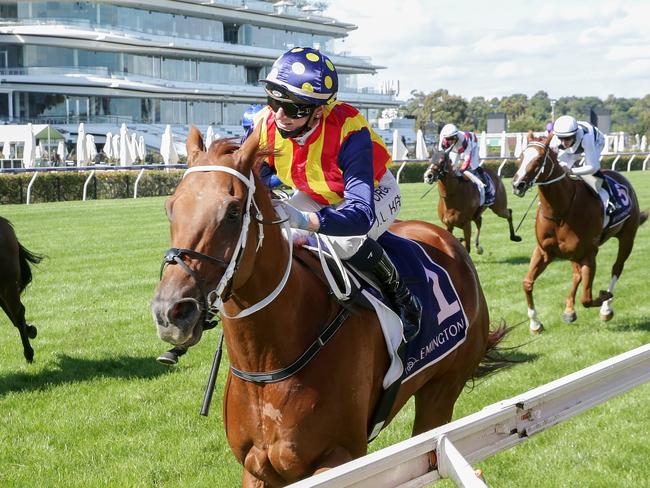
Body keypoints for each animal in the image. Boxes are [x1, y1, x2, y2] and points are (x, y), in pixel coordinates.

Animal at [152, 127, 512, 486]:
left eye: (232, 211)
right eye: (171, 208)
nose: (171, 311)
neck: (267, 361)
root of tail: (444, 240)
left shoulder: (339, 457)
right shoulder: (256, 466)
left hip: (441, 392)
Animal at [512, 132, 644, 334]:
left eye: (539, 159)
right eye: (520, 156)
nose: (517, 185)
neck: (560, 210)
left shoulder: (589, 253)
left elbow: (587, 298)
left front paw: (604, 297)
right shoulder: (544, 251)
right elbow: (527, 283)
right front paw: (535, 324)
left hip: (627, 237)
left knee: (617, 268)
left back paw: (606, 308)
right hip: (573, 253)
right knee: (577, 275)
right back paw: (569, 310)